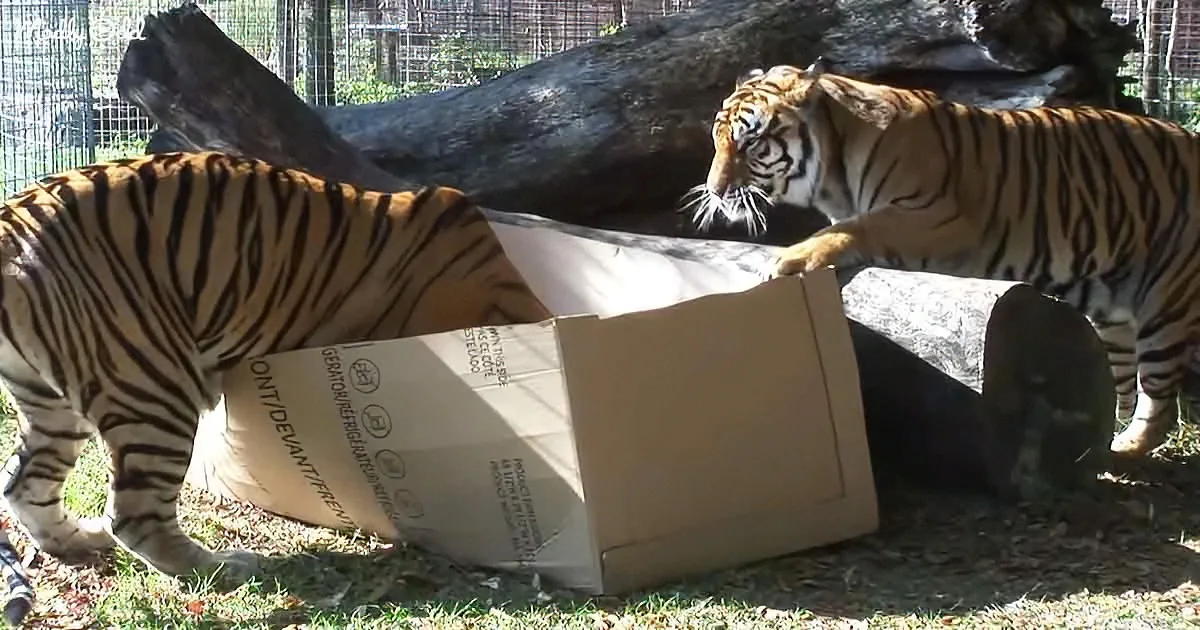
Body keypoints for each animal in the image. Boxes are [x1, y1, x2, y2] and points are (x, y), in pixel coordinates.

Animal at [0, 150, 553, 624]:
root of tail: (10, 222)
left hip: (52, 403)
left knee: (23, 482)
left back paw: (79, 538)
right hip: (153, 385)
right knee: (135, 515)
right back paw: (225, 566)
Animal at [684, 59, 1200, 463]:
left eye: (750, 143)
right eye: (717, 140)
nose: (715, 190)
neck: (832, 169)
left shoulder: (936, 217)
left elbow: (854, 229)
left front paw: (787, 262)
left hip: (1166, 302)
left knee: (1161, 404)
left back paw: (1123, 450)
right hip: (1113, 310)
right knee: (1123, 385)